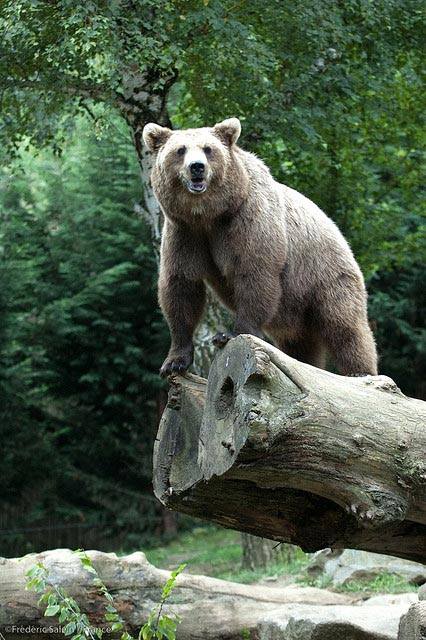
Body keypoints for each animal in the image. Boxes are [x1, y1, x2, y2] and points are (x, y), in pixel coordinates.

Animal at [144, 117, 380, 378]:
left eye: (208, 149)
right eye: (180, 150)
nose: (197, 167)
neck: (209, 215)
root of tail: (342, 238)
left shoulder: (247, 221)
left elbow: (254, 274)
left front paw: (229, 334)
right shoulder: (184, 233)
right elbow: (181, 285)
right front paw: (175, 361)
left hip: (324, 275)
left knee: (345, 327)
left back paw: (360, 373)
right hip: (296, 311)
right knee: (301, 345)